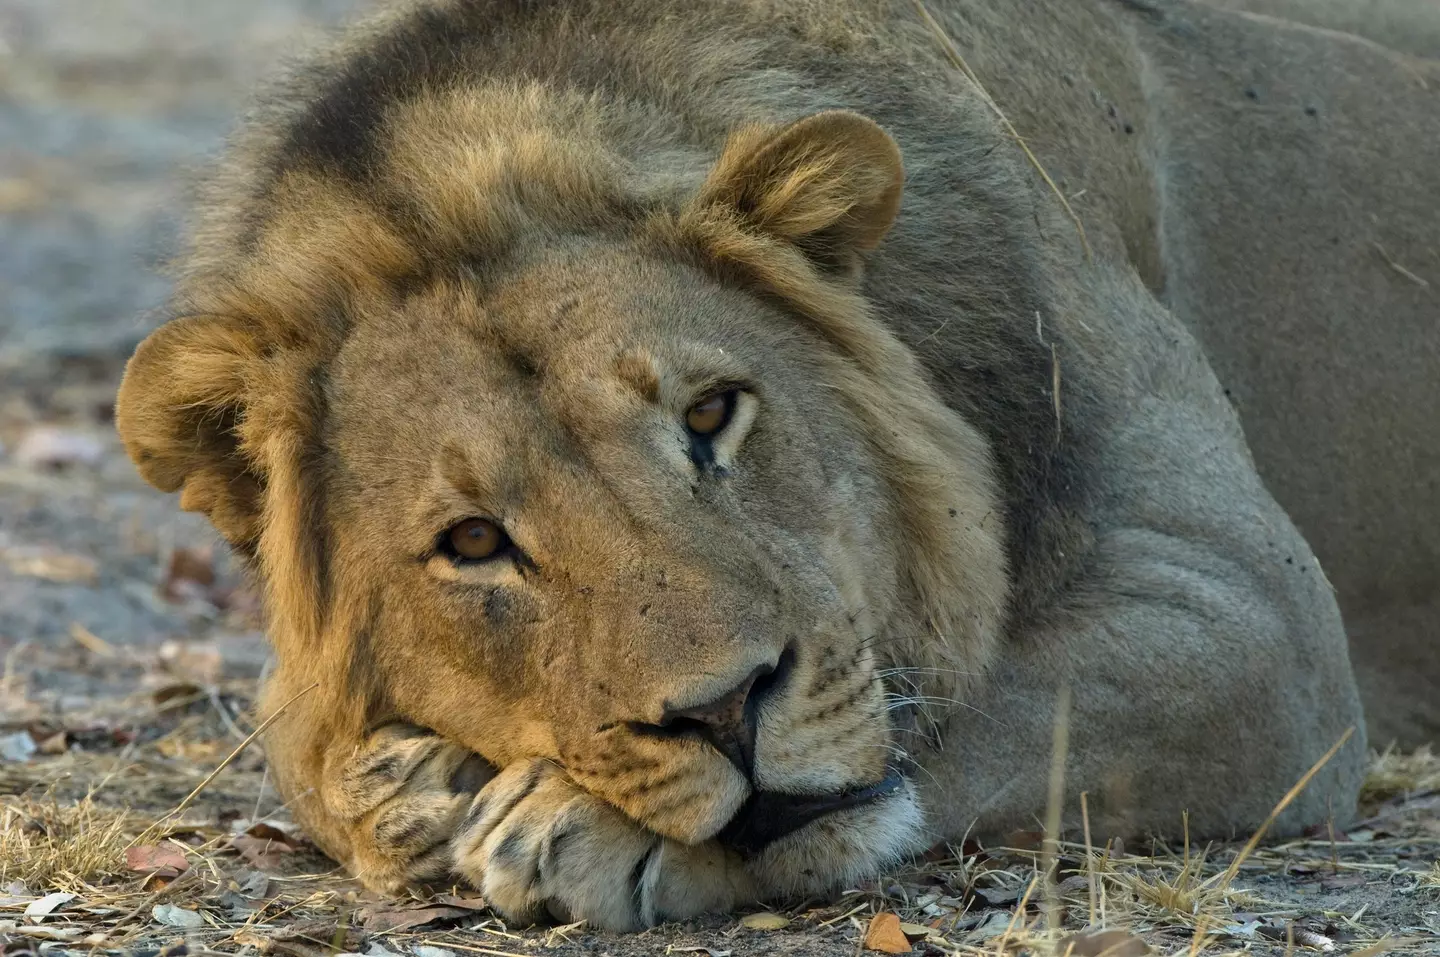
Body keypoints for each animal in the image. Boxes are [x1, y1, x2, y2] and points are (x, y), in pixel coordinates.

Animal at [115, 0, 1438, 932]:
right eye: (475, 542)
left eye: (712, 415)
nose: (724, 711)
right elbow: (299, 750)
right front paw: (405, 786)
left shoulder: (1256, 618)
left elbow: (993, 697)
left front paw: (572, 825)